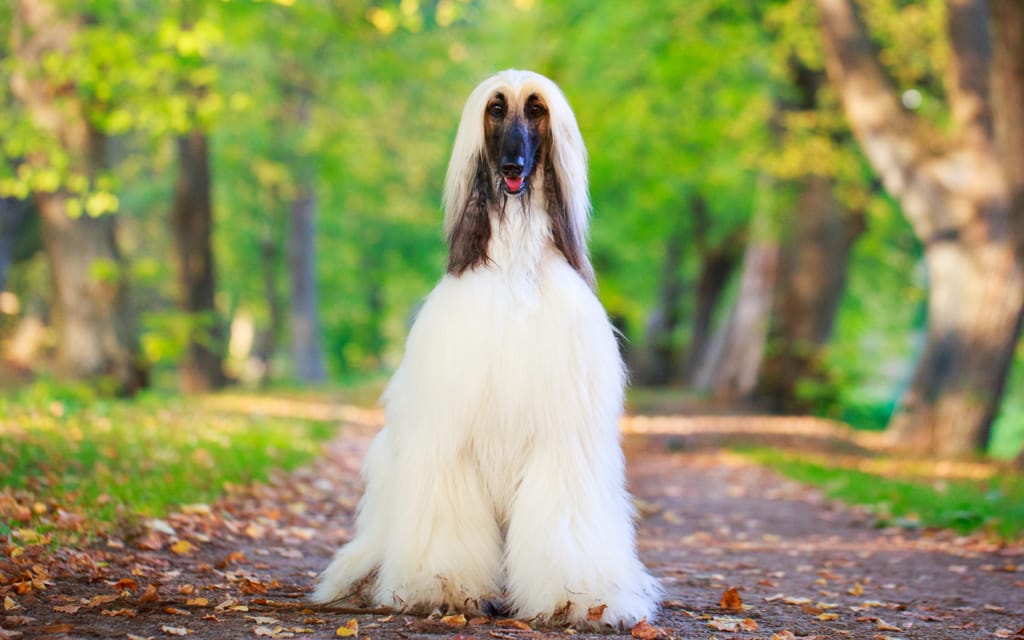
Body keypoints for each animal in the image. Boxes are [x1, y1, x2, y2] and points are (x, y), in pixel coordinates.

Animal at [313, 68, 663, 622]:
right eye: (496, 109)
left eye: (536, 108)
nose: (513, 166)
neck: (515, 263)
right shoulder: (451, 435)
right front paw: (442, 587)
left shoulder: (560, 435)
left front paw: (576, 595)